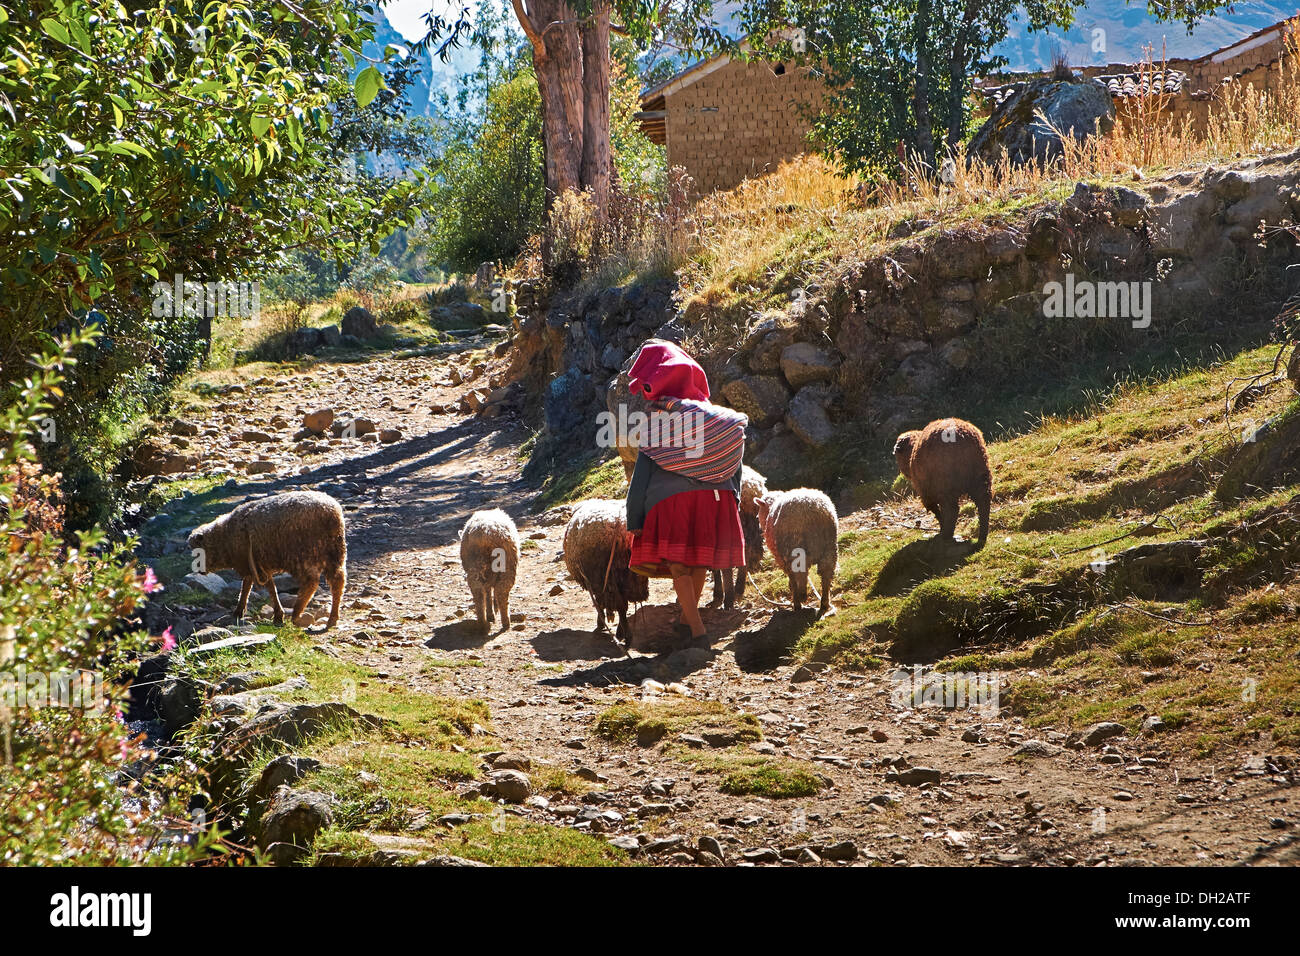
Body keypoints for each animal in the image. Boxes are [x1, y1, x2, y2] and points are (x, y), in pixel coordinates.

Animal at [185, 494, 345, 629]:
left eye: (198, 551)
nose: (197, 570)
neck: (225, 537)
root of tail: (330, 513)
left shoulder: (255, 563)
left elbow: (266, 588)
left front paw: (278, 615)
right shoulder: (254, 564)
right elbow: (250, 586)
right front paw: (239, 611)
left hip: (304, 553)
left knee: (311, 582)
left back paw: (296, 613)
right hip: (334, 552)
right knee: (338, 581)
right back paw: (332, 618)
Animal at [566, 502, 655, 642]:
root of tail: (618, 531)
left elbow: (600, 603)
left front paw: (600, 623)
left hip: (606, 573)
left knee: (619, 604)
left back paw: (623, 634)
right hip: (625, 572)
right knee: (623, 603)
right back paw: (622, 633)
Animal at [894, 416, 993, 548]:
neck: (911, 451)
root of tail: (960, 436)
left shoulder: (926, 491)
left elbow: (935, 510)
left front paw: (941, 527)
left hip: (945, 482)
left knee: (952, 509)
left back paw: (946, 535)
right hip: (980, 473)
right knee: (984, 500)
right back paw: (982, 536)